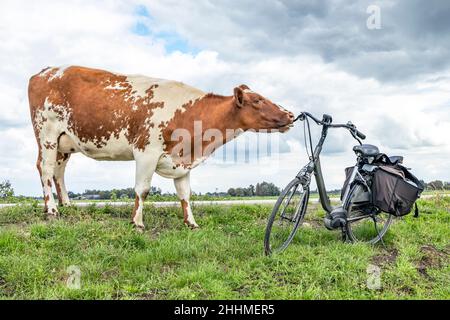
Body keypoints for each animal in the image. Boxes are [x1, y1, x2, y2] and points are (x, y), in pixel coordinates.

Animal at [28, 65, 296, 230]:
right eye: (257, 100)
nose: (290, 114)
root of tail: (44, 72)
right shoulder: (146, 152)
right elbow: (142, 189)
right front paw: (137, 223)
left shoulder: (182, 160)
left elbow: (185, 194)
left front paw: (191, 223)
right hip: (47, 134)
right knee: (45, 168)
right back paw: (51, 209)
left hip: (65, 142)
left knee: (59, 171)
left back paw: (67, 204)